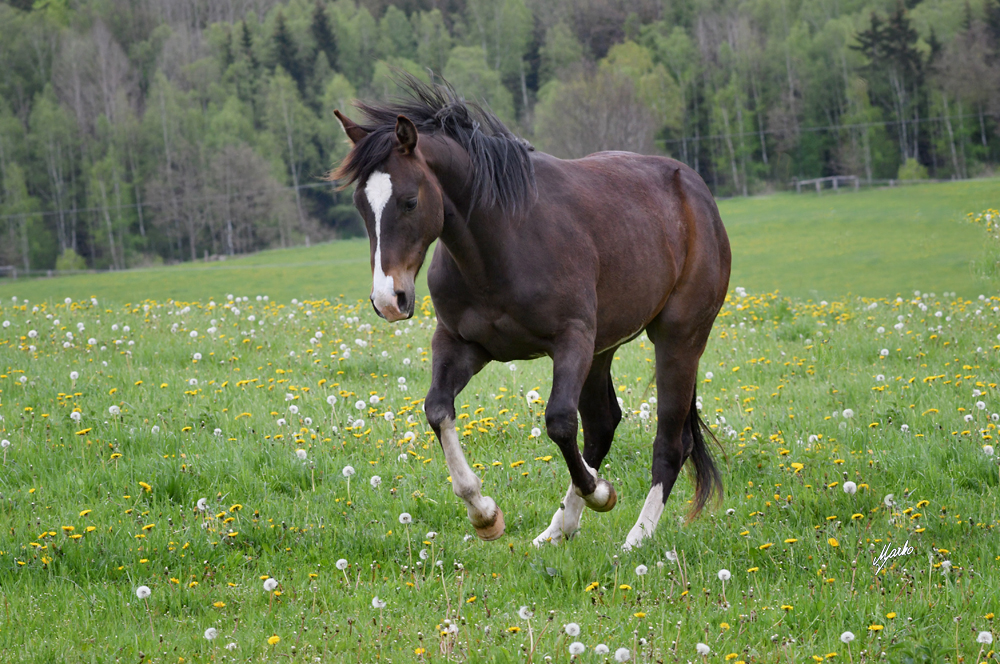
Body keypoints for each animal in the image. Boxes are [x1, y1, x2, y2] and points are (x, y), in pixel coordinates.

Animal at [332, 76, 732, 548]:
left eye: (410, 201)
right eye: (362, 206)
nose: (388, 300)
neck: (503, 242)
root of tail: (695, 190)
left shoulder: (571, 340)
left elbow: (558, 422)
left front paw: (601, 493)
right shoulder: (461, 344)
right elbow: (437, 410)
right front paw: (484, 514)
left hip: (678, 337)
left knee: (669, 442)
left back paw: (636, 537)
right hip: (602, 348)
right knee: (603, 424)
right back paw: (557, 530)